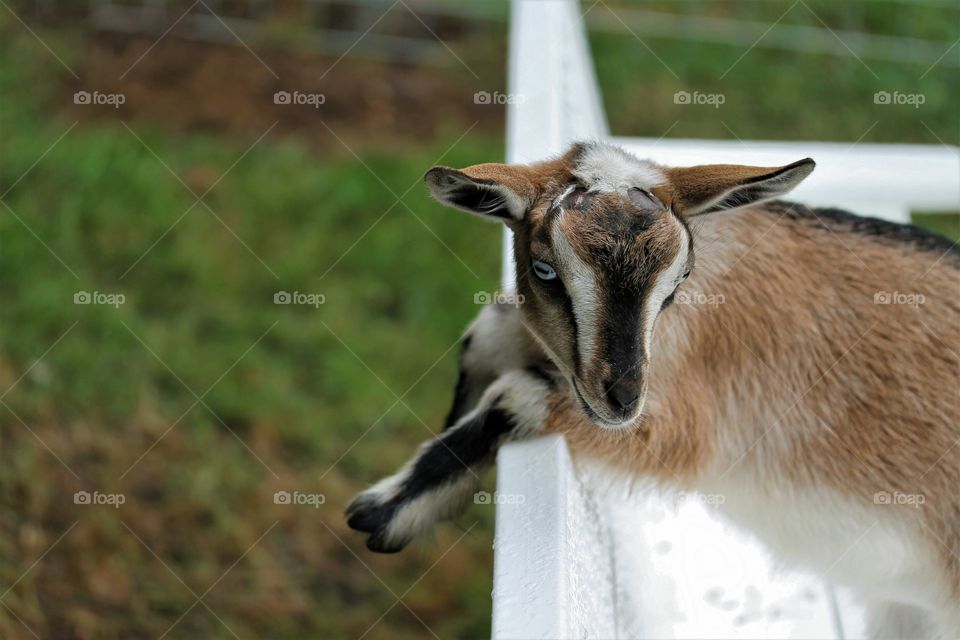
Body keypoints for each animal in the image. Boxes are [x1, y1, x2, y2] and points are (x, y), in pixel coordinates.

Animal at [346, 142, 959, 638]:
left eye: (681, 278)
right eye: (544, 271)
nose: (622, 398)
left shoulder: (689, 428)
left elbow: (514, 396)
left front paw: (384, 511)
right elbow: (484, 336)